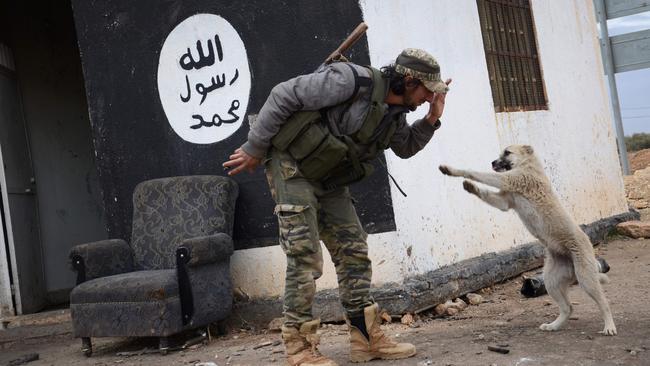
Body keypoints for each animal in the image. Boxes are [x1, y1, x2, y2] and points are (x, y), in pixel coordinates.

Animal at [438, 144, 616, 334]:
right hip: (551, 280)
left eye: (507, 152)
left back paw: (609, 326)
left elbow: (476, 172)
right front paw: (471, 187)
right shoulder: (505, 201)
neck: (528, 164)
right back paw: (553, 326)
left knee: (604, 302)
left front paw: (451, 170)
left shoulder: (511, 179)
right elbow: (488, 193)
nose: (492, 162)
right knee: (568, 308)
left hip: (585, 277)